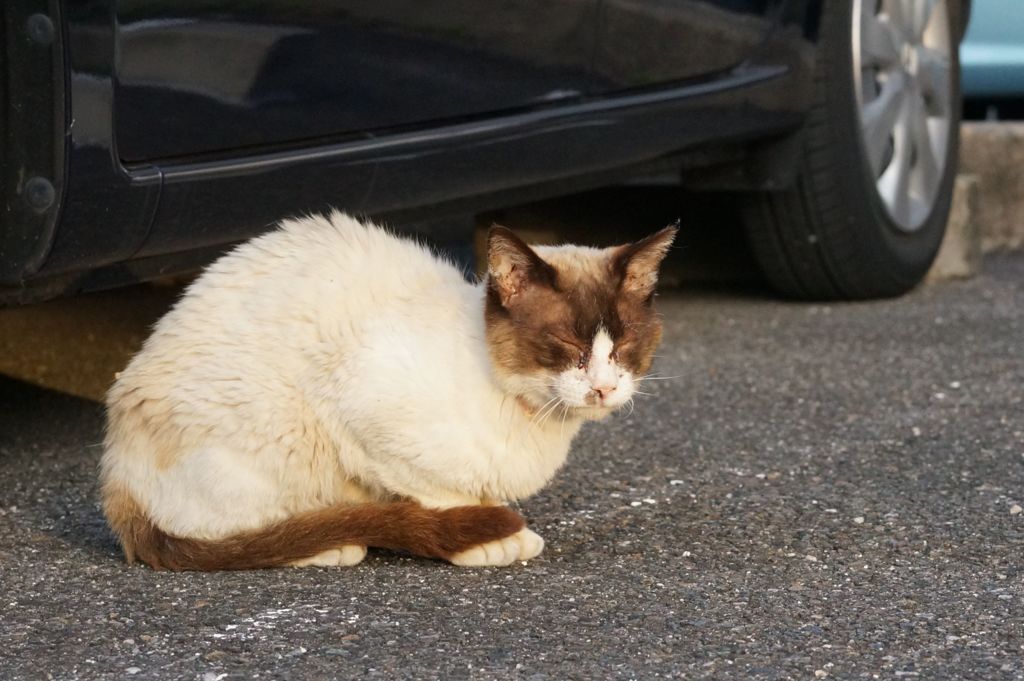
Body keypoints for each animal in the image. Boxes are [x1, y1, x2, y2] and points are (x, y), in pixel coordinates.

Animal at [99, 213, 675, 569]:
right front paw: (488, 538)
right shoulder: (370, 424)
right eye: (567, 343)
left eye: (624, 344)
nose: (603, 388)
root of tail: (114, 473)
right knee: (231, 534)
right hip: (283, 436)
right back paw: (331, 544)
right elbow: (445, 498)